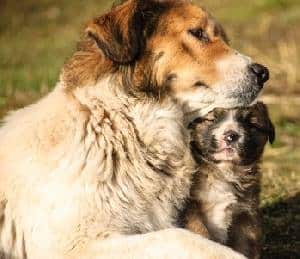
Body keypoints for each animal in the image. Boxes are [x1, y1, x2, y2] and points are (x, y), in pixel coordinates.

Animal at [185, 102, 274, 258]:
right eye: (213, 119)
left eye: (250, 123)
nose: (231, 136)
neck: (224, 171)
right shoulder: (190, 210)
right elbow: (200, 234)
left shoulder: (245, 215)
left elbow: (244, 247)